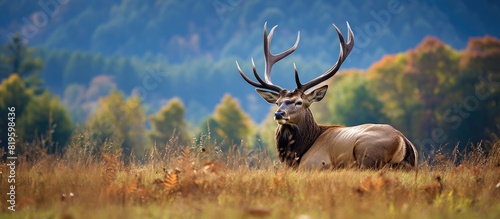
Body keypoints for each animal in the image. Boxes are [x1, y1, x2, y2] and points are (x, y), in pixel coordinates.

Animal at [236, 23, 416, 171]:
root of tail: (403, 142)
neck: (299, 153)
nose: (279, 114)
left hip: (367, 151)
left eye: (299, 102)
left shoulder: (314, 163)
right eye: (278, 103)